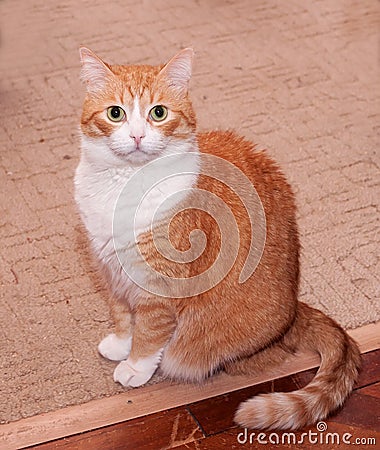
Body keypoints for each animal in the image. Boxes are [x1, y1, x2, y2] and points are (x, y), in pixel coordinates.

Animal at [73, 46, 360, 428]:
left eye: (158, 113)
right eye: (115, 113)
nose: (136, 137)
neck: (125, 184)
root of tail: (295, 310)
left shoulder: (160, 288)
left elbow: (149, 333)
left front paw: (135, 367)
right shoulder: (111, 272)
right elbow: (122, 315)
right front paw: (121, 344)